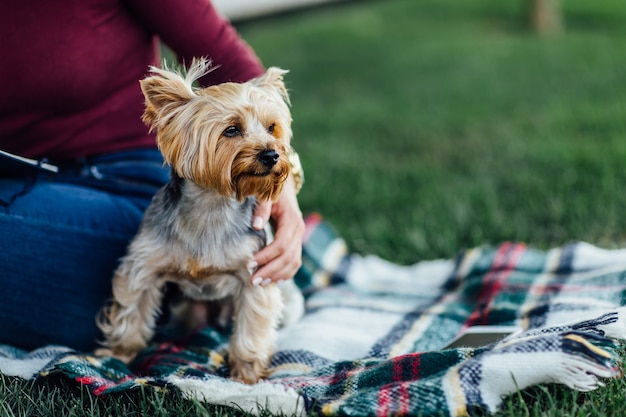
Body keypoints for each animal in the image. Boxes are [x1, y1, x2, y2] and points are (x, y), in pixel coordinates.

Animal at [95, 58, 304, 384]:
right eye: (232, 130)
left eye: (272, 128)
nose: (272, 154)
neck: (212, 204)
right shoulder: (143, 265)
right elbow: (132, 309)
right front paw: (118, 354)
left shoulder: (257, 274)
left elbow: (252, 326)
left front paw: (247, 375)